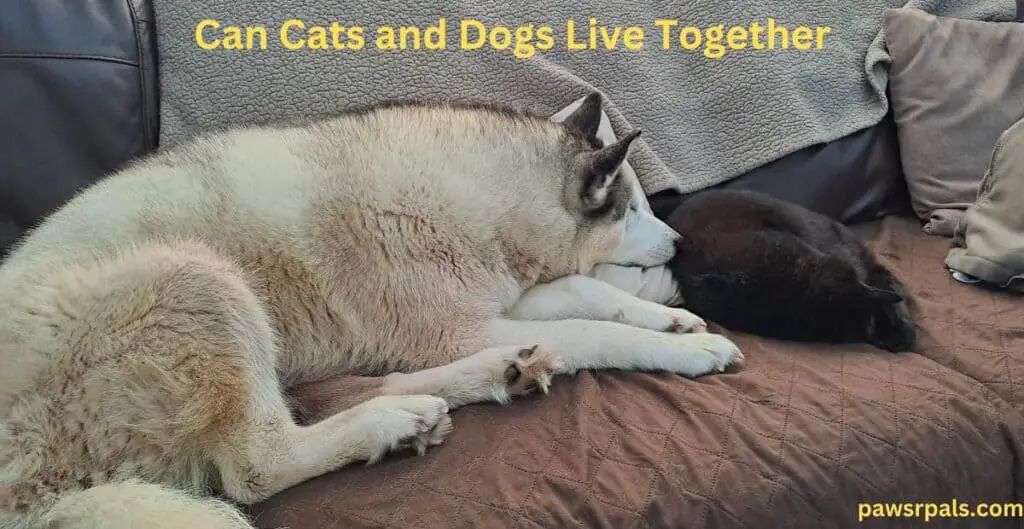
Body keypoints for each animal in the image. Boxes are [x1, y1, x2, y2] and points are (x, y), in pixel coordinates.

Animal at [0, 92, 741, 523]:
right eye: (633, 207)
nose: (680, 241)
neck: (483, 197)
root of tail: (26, 498)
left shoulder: (493, 304)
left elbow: (586, 294)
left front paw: (667, 315)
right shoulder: (459, 324)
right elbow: (589, 328)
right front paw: (684, 346)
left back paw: (491, 376)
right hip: (196, 280)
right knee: (257, 466)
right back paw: (394, 420)